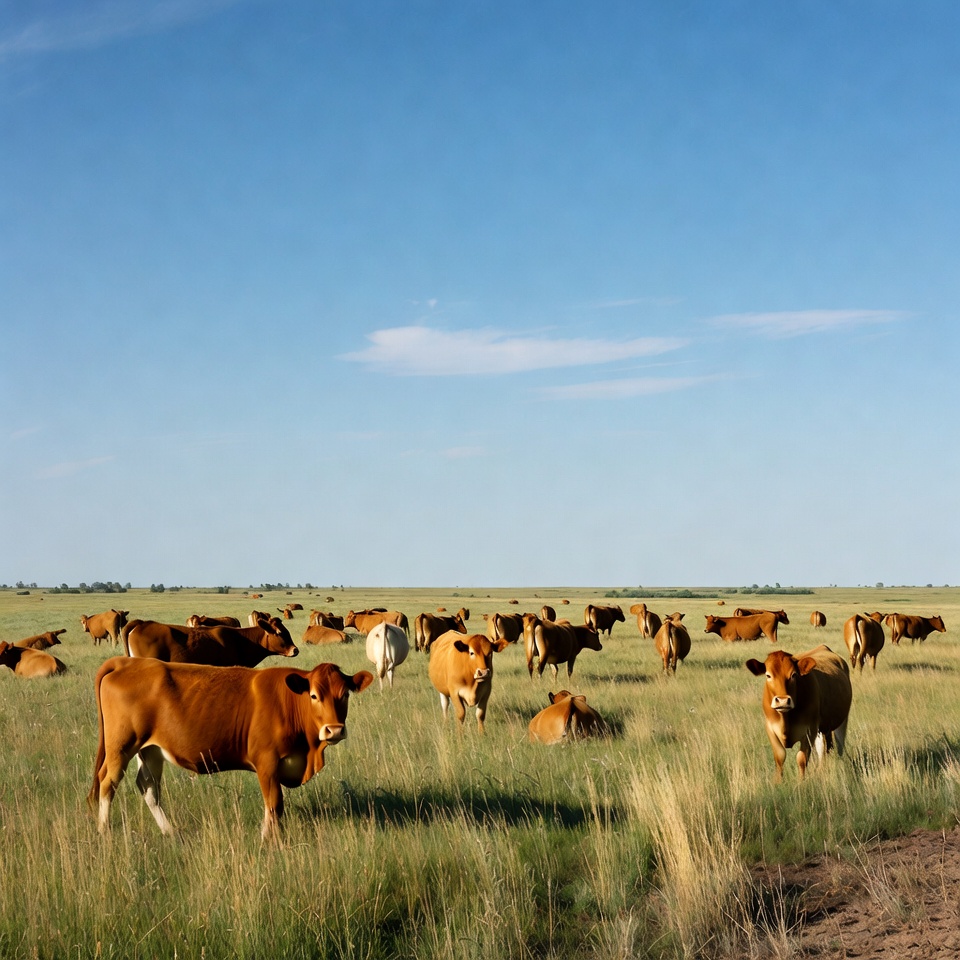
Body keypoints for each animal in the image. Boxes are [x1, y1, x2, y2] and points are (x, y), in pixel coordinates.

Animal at [88, 656, 372, 840]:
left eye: (345, 694)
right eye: (314, 695)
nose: (334, 730)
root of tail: (128, 662)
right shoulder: (267, 762)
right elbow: (274, 804)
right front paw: (268, 839)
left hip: (150, 750)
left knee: (148, 788)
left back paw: (169, 831)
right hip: (121, 746)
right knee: (108, 782)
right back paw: (103, 831)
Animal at [745, 644, 852, 781]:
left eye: (794, 675)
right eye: (768, 675)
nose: (782, 701)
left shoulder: (809, 730)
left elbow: (802, 759)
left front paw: (801, 782)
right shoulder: (770, 728)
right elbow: (779, 757)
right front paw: (777, 781)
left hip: (842, 719)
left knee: (839, 743)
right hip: (823, 727)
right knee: (824, 748)